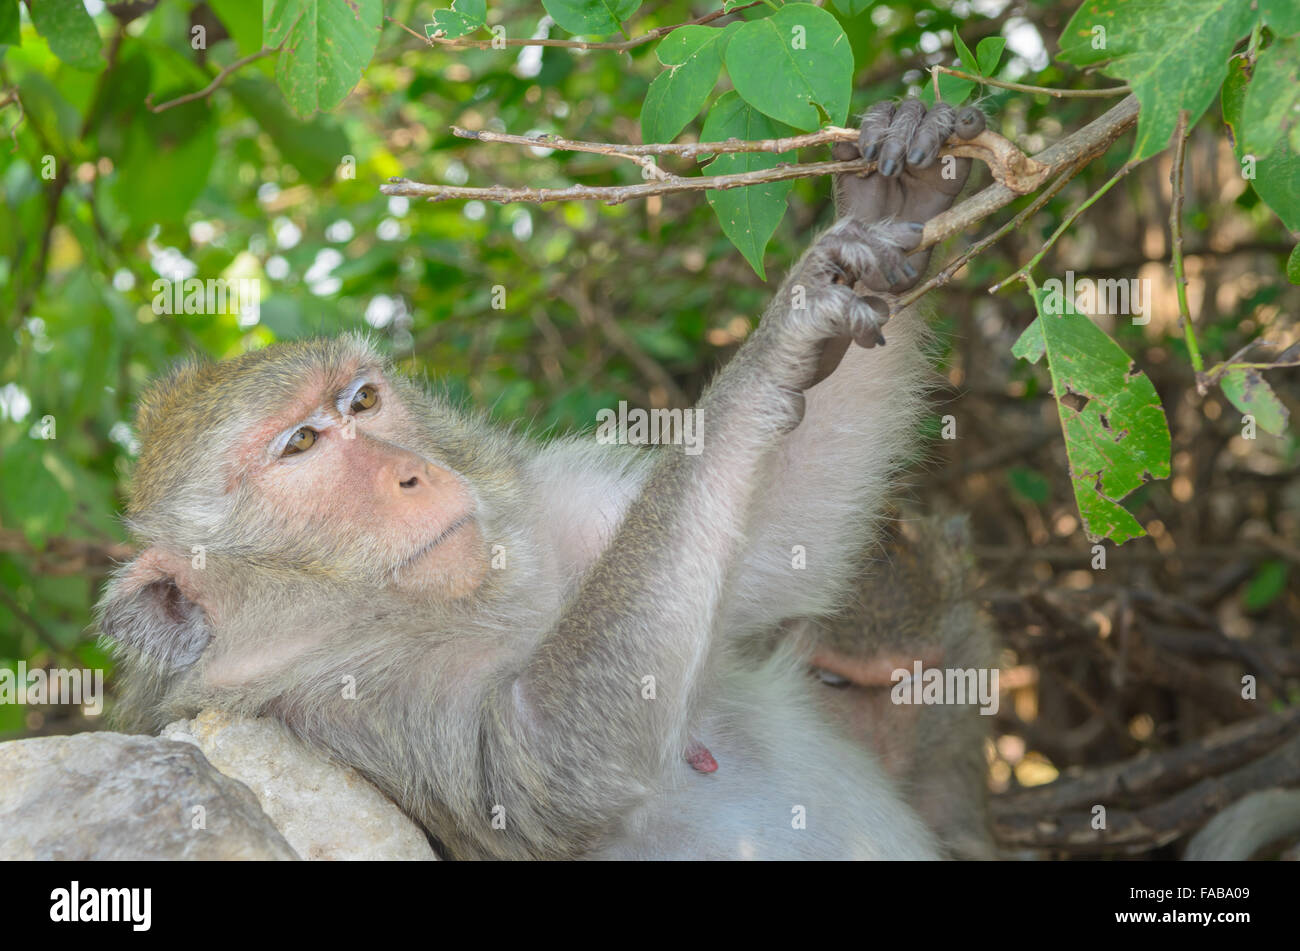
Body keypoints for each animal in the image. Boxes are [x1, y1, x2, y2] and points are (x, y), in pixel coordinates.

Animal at [101, 100, 987, 857]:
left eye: (362, 400)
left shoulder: (553, 510)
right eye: (302, 444)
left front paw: (887, 192)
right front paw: (778, 343)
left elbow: (780, 548)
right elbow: (536, 760)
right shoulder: (313, 713)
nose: (413, 474)